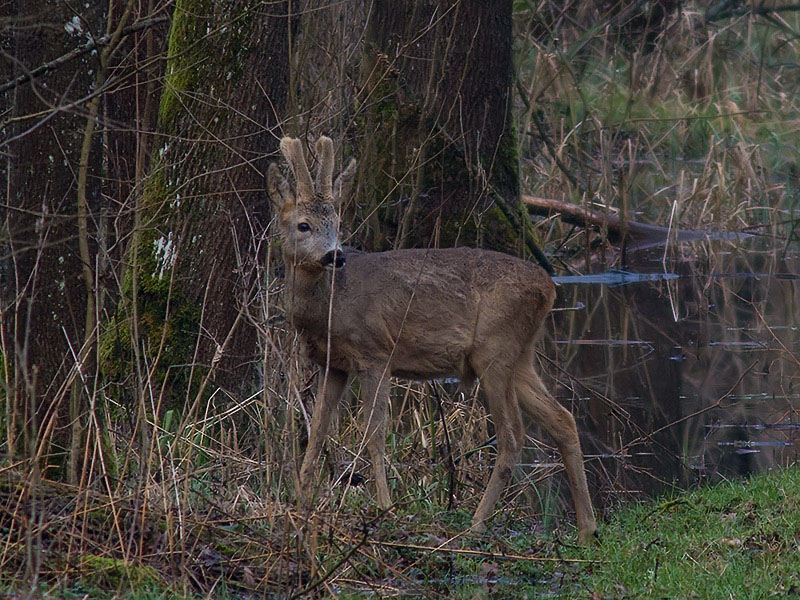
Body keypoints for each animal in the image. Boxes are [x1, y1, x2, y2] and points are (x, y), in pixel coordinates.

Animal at [272, 136, 596, 544]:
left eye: (338, 223)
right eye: (304, 225)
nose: (335, 255)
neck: (331, 307)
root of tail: (550, 287)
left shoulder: (376, 353)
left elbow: (375, 433)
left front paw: (384, 506)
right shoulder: (335, 365)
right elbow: (318, 430)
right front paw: (299, 498)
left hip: (496, 349)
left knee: (513, 436)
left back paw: (476, 523)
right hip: (521, 355)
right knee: (562, 419)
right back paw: (587, 528)